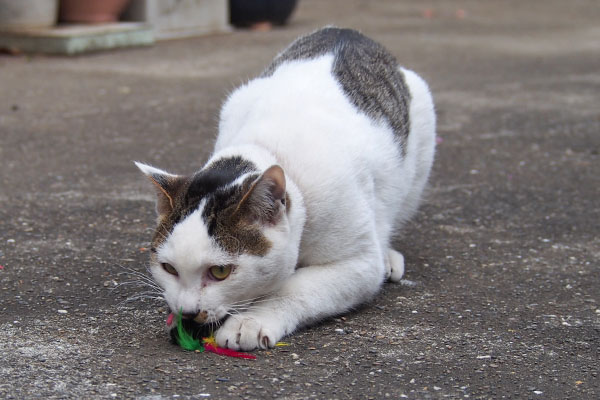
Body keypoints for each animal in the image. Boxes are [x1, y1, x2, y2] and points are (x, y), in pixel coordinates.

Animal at [136, 27, 436, 350]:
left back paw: (389, 254)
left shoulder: (360, 264)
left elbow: (295, 287)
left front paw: (249, 322)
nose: (188, 312)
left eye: (220, 272)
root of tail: (347, 32)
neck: (269, 148)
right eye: (169, 268)